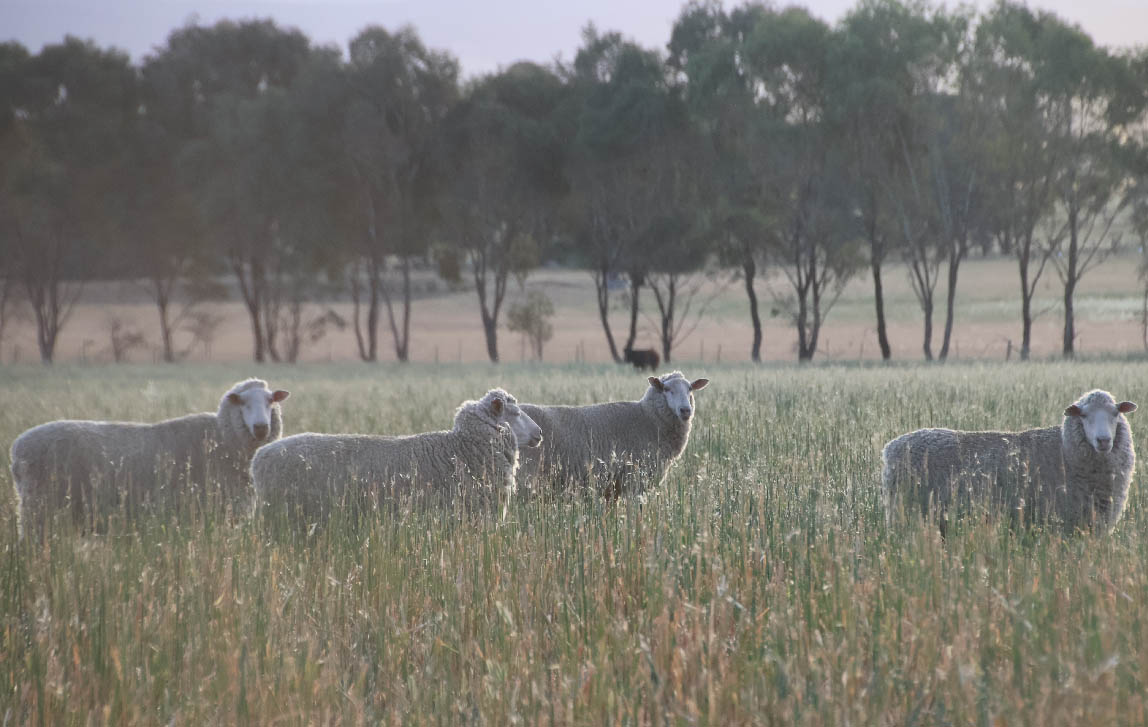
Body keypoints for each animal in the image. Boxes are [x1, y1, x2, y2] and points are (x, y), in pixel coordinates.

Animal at [10, 378, 290, 540]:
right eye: (242, 402)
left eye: (270, 401)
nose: (261, 428)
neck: (221, 438)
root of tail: (17, 447)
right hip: (39, 512)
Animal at [518, 371, 709, 498]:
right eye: (666, 389)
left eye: (690, 389)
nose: (685, 410)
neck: (648, 417)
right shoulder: (634, 480)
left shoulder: (614, 487)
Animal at [882, 389, 1137, 535]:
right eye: (1083, 415)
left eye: (1115, 413)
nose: (1103, 440)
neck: (1064, 449)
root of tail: (891, 448)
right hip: (906, 514)